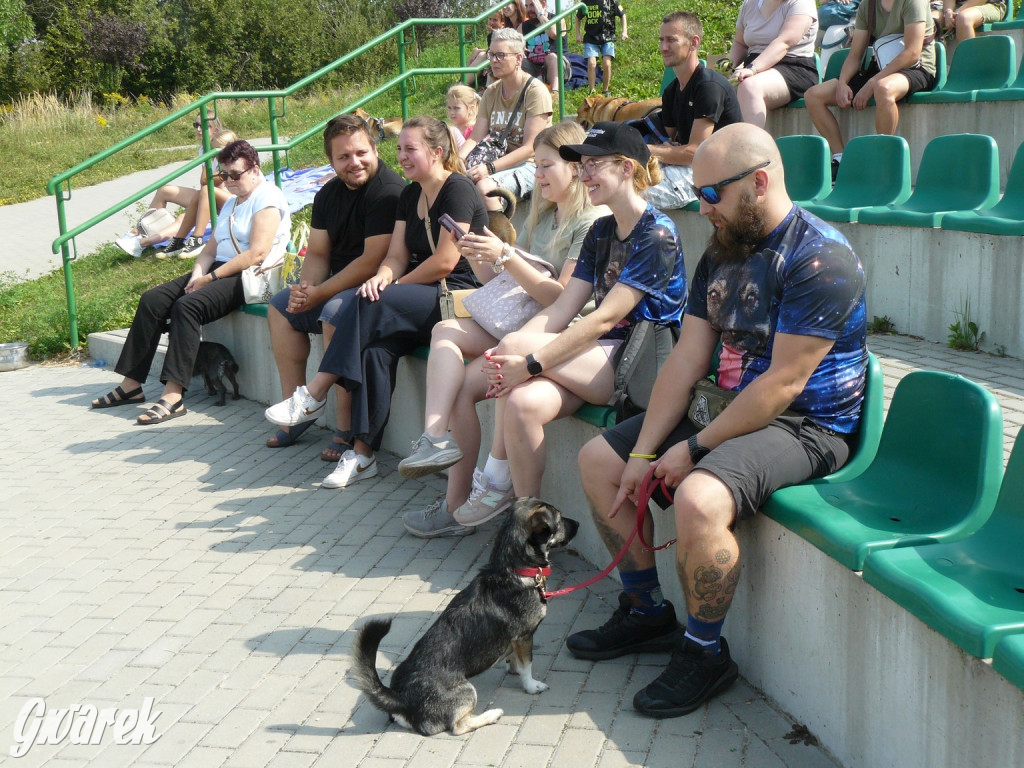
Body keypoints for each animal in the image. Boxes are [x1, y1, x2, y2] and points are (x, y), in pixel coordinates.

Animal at [350, 499, 577, 741]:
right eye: (560, 519)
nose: (579, 524)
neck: (512, 569)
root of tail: (400, 698)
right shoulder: (524, 636)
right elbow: (527, 666)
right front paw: (532, 685)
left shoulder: (516, 641)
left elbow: (515, 659)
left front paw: (513, 668)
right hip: (467, 690)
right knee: (459, 727)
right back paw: (491, 714)